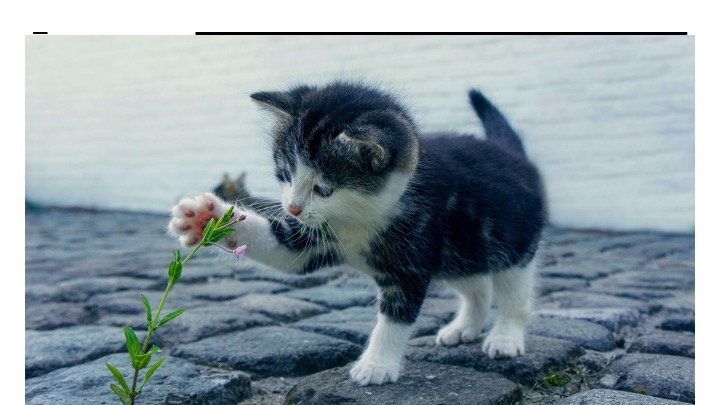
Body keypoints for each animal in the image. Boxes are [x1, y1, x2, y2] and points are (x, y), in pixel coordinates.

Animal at [169, 81, 544, 386]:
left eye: (323, 189)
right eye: (286, 173)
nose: (292, 208)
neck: (358, 217)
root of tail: (513, 154)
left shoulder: (412, 257)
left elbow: (396, 316)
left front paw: (377, 365)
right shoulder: (314, 237)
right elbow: (284, 251)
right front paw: (206, 217)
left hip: (511, 243)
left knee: (513, 292)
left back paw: (505, 337)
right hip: (459, 252)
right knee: (477, 285)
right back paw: (464, 327)